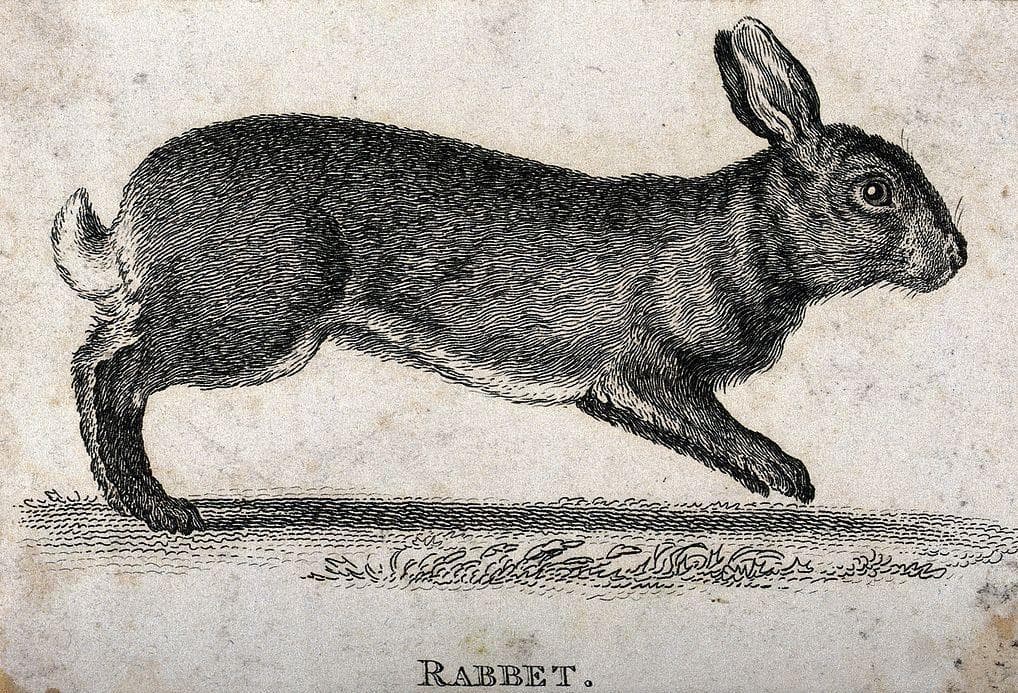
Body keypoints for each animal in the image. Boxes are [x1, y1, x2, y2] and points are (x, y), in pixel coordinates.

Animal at [52, 17, 966, 534]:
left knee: (99, 348)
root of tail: (134, 205)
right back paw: (161, 511)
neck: (746, 231)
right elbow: (711, 421)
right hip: (255, 318)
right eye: (874, 191)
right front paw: (786, 476)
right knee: (113, 369)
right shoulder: (647, 371)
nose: (956, 255)